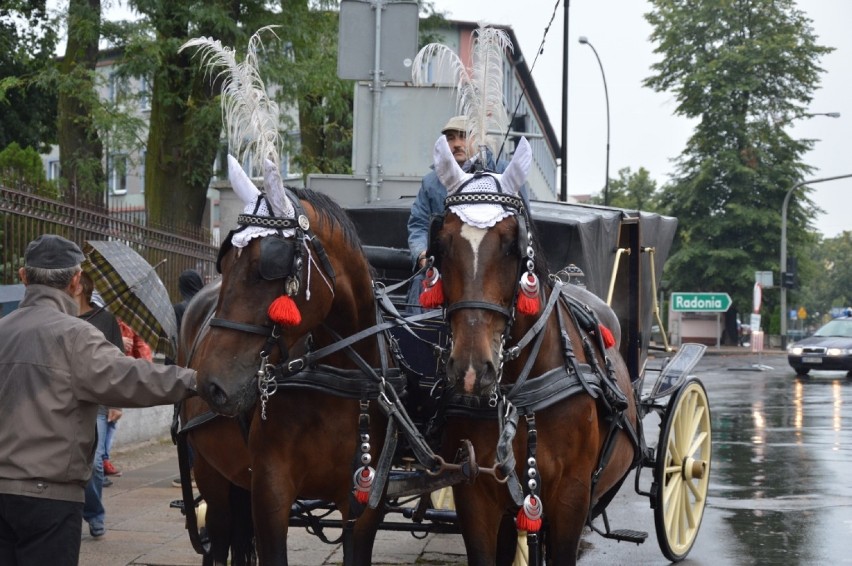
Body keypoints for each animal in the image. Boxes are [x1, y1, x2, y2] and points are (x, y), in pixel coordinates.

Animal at [185, 158, 398, 564]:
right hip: (211, 473)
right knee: (218, 538)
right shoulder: (270, 490)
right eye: (225, 263)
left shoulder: (364, 503)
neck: (335, 377)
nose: (211, 385)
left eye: (267, 267)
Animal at [426, 135, 640, 564]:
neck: (519, 395)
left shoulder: (571, 499)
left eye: (513, 244)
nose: (471, 370)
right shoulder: (474, 495)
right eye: (440, 244)